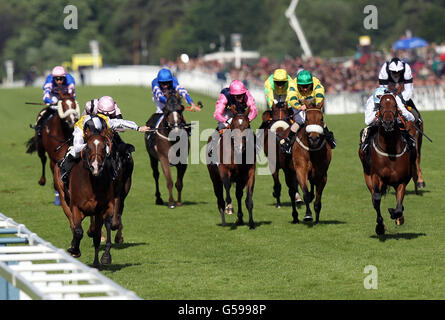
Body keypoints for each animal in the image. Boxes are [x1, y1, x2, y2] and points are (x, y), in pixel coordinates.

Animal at [54, 128, 115, 268]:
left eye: (104, 147)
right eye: (88, 147)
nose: (96, 167)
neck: (91, 183)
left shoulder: (102, 209)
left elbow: (100, 233)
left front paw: (102, 259)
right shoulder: (76, 207)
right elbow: (78, 231)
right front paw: (74, 250)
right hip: (64, 200)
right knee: (72, 224)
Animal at [358, 92, 416, 235]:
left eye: (395, 105)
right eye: (380, 106)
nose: (388, 123)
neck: (390, 150)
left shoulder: (401, 180)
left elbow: (399, 206)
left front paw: (395, 214)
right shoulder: (376, 176)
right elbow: (376, 199)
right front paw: (380, 226)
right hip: (367, 176)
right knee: (374, 198)